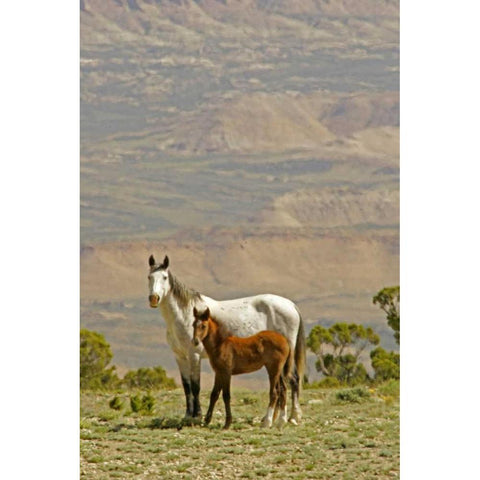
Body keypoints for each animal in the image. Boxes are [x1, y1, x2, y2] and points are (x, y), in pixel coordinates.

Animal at [146, 255, 306, 424]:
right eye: (149, 277)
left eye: (164, 277)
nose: (154, 299)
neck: (185, 314)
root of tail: (291, 305)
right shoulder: (180, 357)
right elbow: (186, 386)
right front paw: (188, 415)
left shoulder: (194, 355)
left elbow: (196, 386)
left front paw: (197, 415)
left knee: (293, 380)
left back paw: (292, 417)